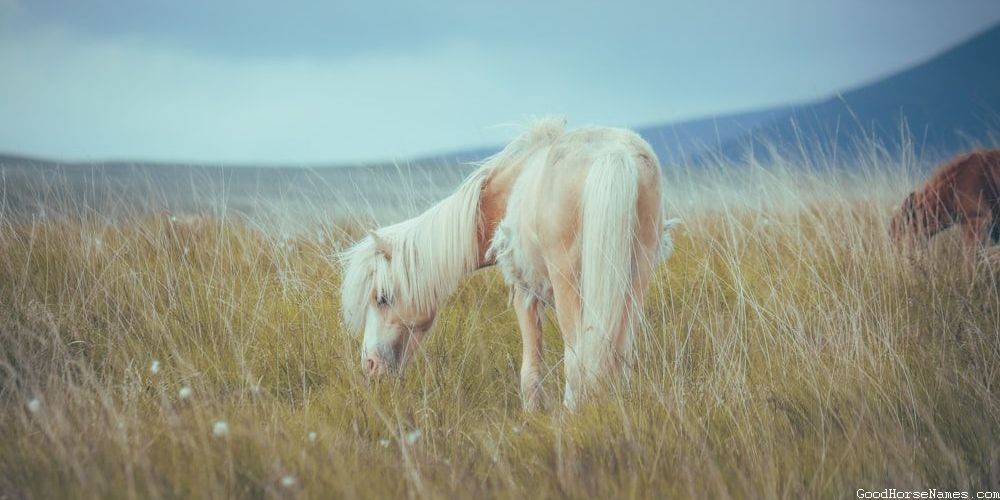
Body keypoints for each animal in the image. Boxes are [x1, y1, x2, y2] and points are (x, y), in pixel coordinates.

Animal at [339, 118, 676, 410]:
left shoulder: (524, 291)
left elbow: (530, 373)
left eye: (382, 298)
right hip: (634, 280)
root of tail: (614, 155)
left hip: (570, 286)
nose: (370, 365)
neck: (508, 191)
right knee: (619, 355)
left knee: (579, 359)